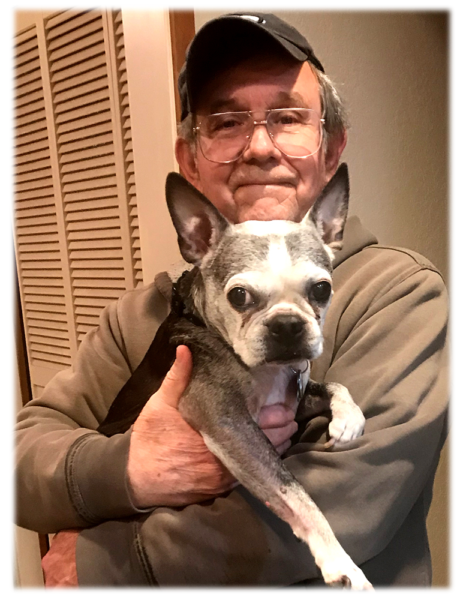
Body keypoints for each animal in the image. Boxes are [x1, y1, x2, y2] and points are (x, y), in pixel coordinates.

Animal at [98, 164, 376, 596]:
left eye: (321, 289)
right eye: (239, 296)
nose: (287, 325)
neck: (266, 371)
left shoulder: (293, 397)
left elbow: (333, 386)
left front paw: (349, 420)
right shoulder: (227, 421)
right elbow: (294, 491)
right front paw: (341, 562)